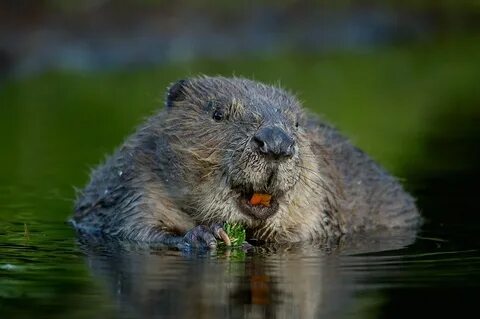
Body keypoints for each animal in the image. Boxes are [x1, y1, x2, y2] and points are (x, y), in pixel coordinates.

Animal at [71, 76, 420, 249]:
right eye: (218, 114)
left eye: (296, 123)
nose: (276, 143)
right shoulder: (136, 180)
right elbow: (135, 230)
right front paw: (209, 235)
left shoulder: (320, 203)